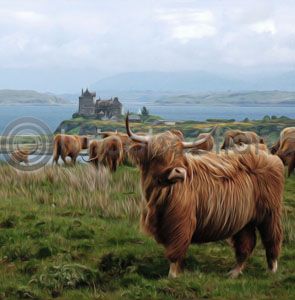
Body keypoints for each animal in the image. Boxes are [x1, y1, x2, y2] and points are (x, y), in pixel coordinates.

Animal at [126, 113, 286, 278]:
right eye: (156, 155)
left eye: (180, 153)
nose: (179, 172)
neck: (159, 197)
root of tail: (265, 153)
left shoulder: (181, 222)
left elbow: (175, 251)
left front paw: (173, 276)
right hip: (245, 218)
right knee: (246, 242)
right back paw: (234, 272)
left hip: (270, 213)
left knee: (272, 237)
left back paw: (272, 269)